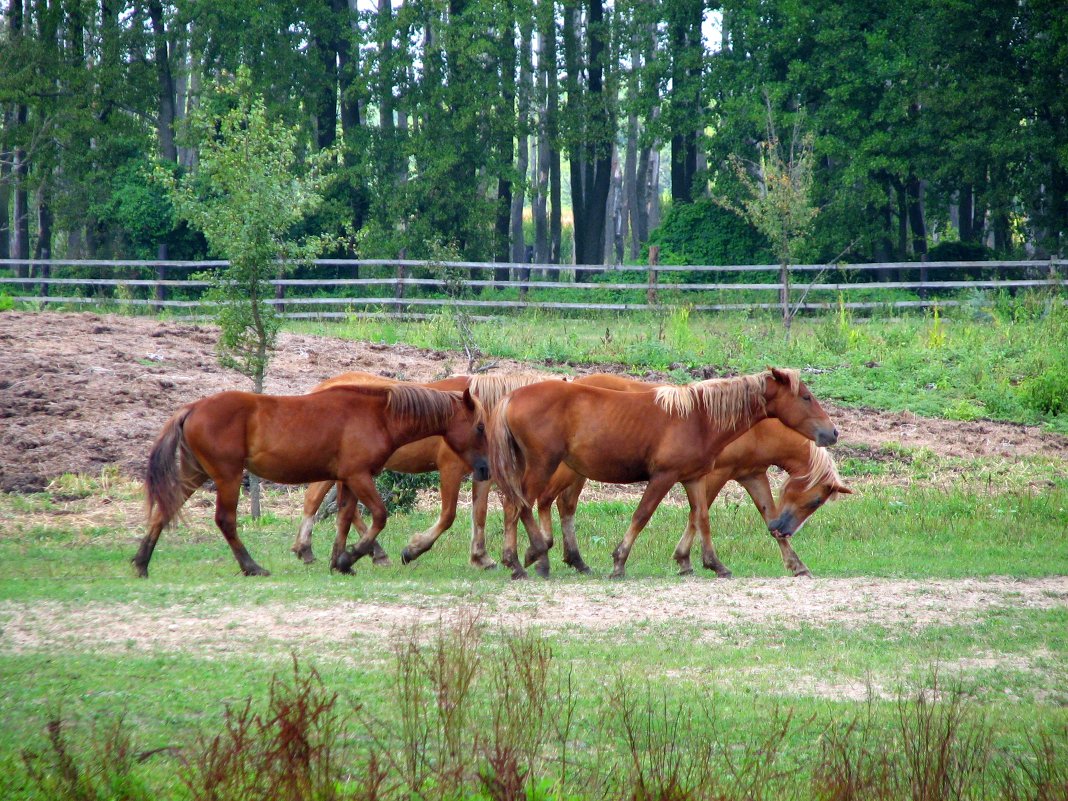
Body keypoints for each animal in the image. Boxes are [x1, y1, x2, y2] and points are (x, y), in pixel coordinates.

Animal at [133, 386, 489, 580]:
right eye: (480, 427)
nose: (485, 468)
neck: (379, 415)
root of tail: (192, 407)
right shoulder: (359, 476)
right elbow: (379, 516)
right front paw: (351, 557)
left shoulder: (347, 480)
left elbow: (344, 519)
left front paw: (340, 561)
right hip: (227, 477)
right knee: (225, 520)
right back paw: (252, 566)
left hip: (195, 474)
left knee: (163, 511)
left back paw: (141, 563)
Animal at [292, 369, 559, 572]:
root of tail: (322, 387)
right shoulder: (450, 469)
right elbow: (448, 515)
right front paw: (414, 549)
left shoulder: (483, 472)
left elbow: (479, 514)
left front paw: (480, 557)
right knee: (323, 501)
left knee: (326, 502)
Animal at [489, 367, 837, 580]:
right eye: (806, 397)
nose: (831, 432)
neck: (699, 416)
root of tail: (510, 397)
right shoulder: (665, 477)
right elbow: (642, 515)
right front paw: (619, 561)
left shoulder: (697, 477)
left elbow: (702, 518)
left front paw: (713, 564)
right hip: (546, 466)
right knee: (521, 504)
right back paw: (529, 557)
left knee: (527, 504)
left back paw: (531, 559)